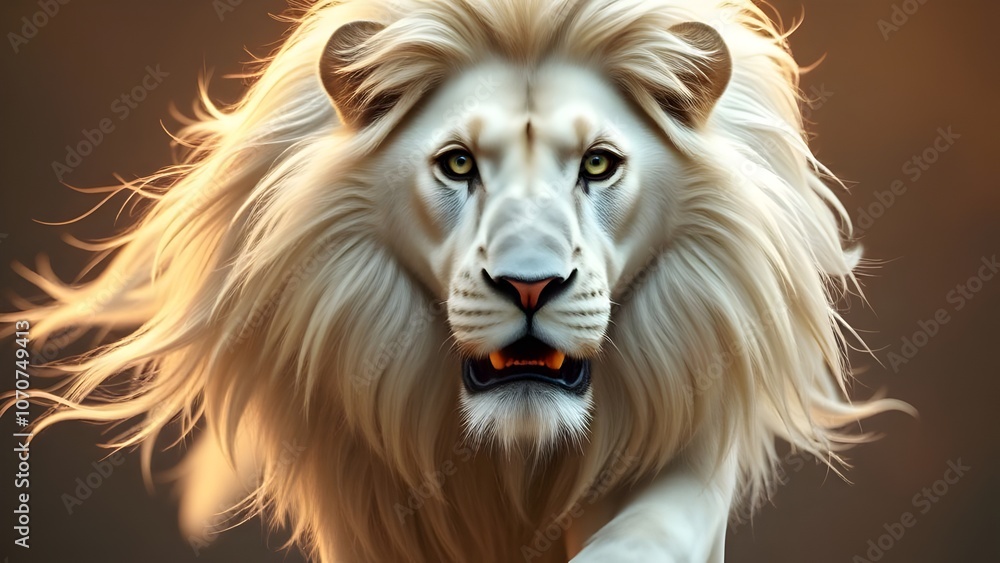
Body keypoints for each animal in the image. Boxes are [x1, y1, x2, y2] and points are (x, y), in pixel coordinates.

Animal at [4, 0, 910, 561]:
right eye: (458, 164)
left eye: (598, 164)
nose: (530, 286)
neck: (514, 463)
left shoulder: (688, 422)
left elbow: (651, 528)